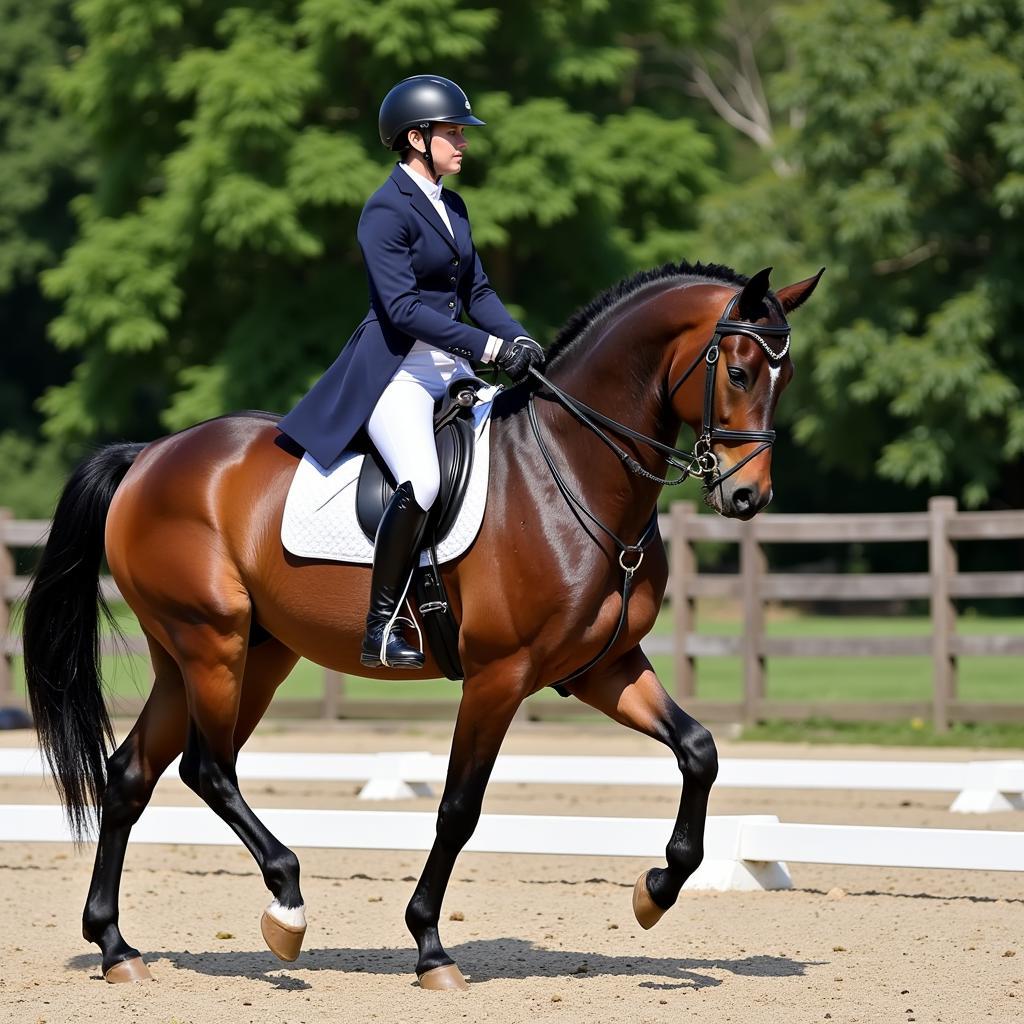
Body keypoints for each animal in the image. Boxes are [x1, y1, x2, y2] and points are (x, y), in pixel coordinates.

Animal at [22, 260, 823, 987]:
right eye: (740, 372)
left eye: (785, 379)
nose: (748, 497)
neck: (572, 469)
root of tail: (147, 456)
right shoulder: (501, 674)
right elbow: (458, 808)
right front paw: (431, 947)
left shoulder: (601, 667)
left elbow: (699, 750)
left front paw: (655, 891)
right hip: (211, 642)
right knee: (207, 766)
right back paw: (286, 907)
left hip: (239, 654)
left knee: (132, 772)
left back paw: (117, 947)